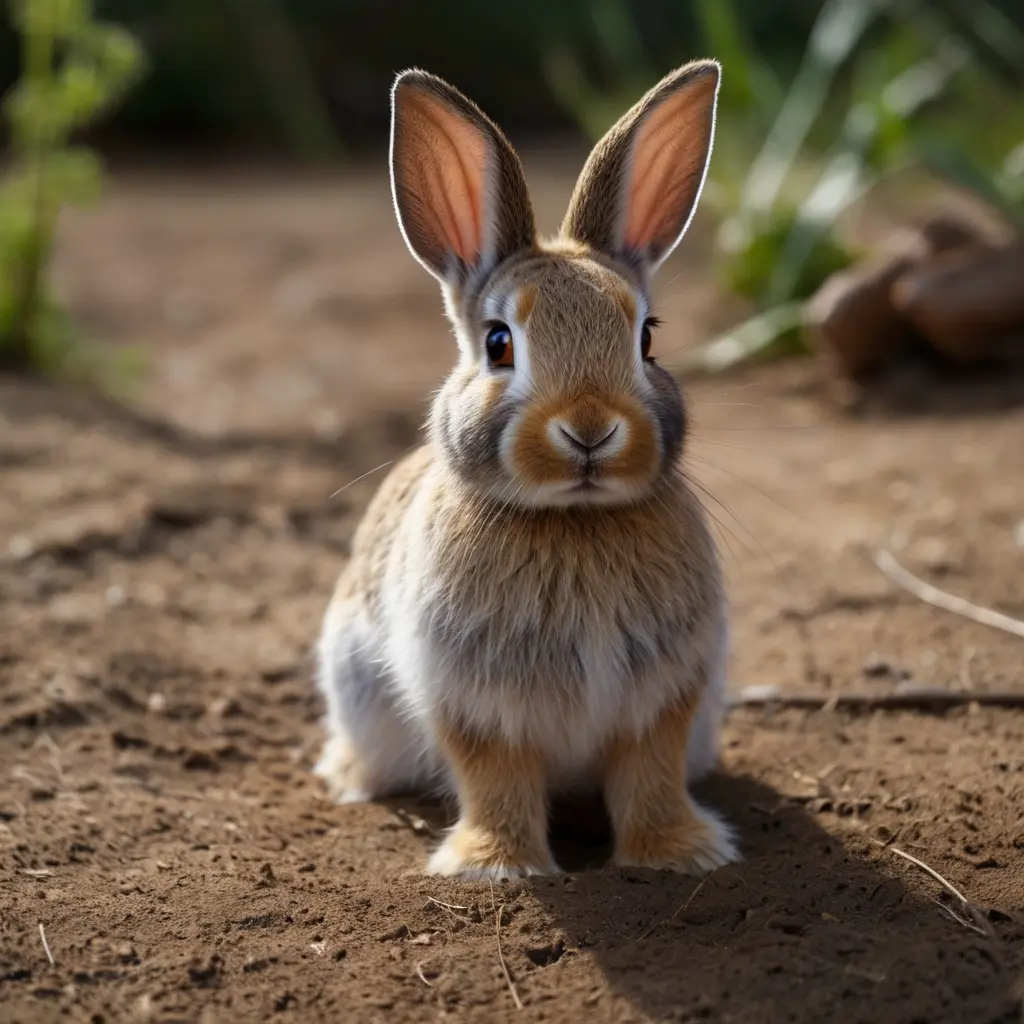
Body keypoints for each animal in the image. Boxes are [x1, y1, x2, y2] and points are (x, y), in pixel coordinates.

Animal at [314, 58, 739, 880]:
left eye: (647, 337)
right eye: (499, 343)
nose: (590, 430)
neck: (573, 518)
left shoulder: (664, 695)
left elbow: (650, 774)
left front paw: (681, 854)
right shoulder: (477, 705)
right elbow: (496, 778)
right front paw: (495, 866)